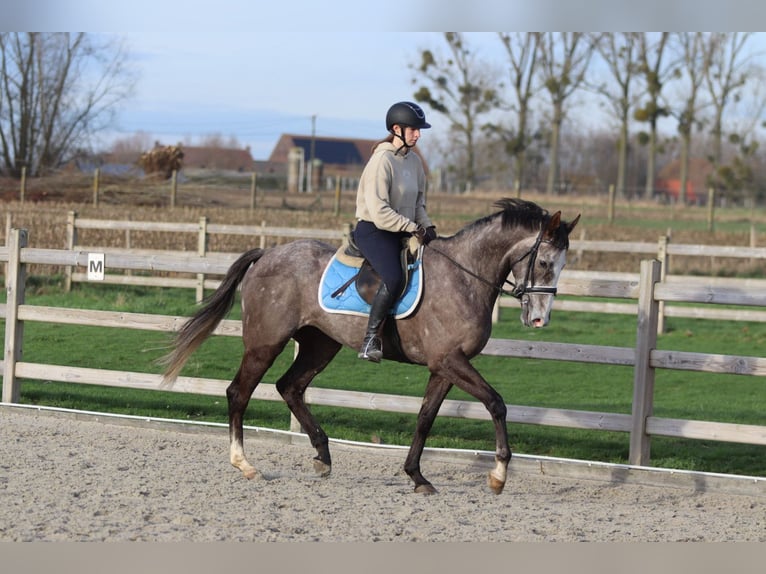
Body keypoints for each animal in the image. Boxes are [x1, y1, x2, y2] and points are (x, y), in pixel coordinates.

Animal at [161, 198, 580, 495]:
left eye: (561, 266)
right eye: (544, 262)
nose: (539, 320)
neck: (464, 276)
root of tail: (268, 254)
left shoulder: (444, 366)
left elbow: (425, 418)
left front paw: (417, 477)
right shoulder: (451, 360)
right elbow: (496, 403)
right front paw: (498, 475)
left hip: (320, 345)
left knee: (290, 387)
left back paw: (323, 456)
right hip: (265, 342)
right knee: (239, 393)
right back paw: (245, 464)